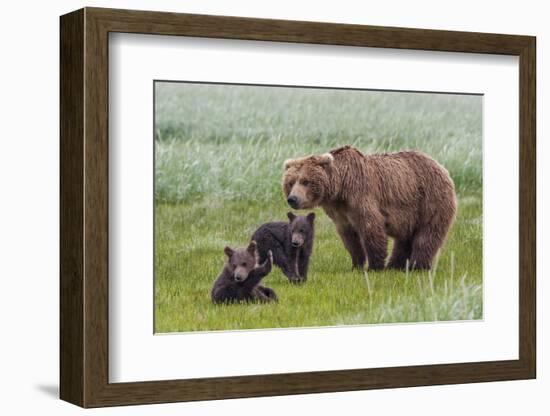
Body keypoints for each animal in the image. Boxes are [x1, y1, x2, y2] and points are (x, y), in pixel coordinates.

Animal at [282, 145, 460, 270]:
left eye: (305, 181)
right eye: (290, 182)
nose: (293, 199)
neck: (340, 190)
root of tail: (442, 167)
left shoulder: (361, 196)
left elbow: (371, 227)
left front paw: (375, 266)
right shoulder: (340, 212)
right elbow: (349, 237)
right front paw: (356, 264)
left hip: (430, 200)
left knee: (427, 235)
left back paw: (418, 265)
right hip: (411, 213)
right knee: (404, 238)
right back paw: (395, 265)